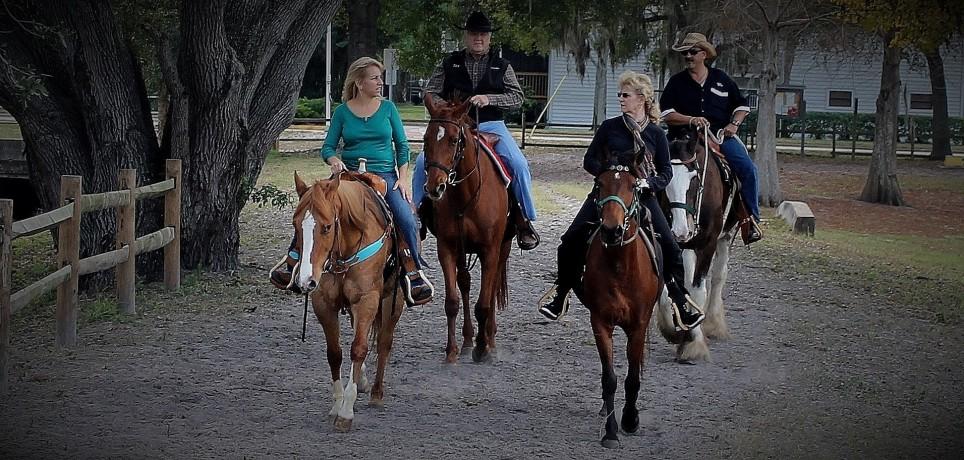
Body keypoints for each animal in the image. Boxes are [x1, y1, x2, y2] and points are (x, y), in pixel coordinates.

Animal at [290, 172, 402, 432]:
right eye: (295, 224)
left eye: (327, 226)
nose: (305, 280)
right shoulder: (323, 303)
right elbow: (335, 353)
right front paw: (336, 404)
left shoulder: (367, 301)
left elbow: (359, 348)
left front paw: (346, 412)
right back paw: (362, 380)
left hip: (394, 300)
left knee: (384, 342)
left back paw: (376, 393)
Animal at [420, 93, 516, 362]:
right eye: (426, 139)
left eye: (454, 140)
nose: (435, 187)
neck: (466, 195)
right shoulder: (447, 248)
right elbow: (452, 301)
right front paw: (452, 351)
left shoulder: (490, 250)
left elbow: (484, 302)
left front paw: (482, 348)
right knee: (464, 283)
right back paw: (466, 340)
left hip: (503, 247)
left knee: (491, 289)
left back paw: (489, 339)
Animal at [572, 159, 664, 450]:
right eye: (599, 184)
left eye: (633, 186)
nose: (612, 230)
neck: (620, 267)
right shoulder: (601, 323)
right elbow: (610, 378)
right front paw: (611, 432)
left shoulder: (638, 326)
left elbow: (632, 378)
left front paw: (630, 420)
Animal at [656, 126, 740, 362]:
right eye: (664, 178)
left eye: (694, 176)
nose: (680, 229)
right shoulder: (673, 244)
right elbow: (669, 290)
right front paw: (673, 329)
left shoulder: (707, 243)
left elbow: (698, 290)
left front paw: (694, 343)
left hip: (725, 237)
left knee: (719, 276)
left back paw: (713, 324)